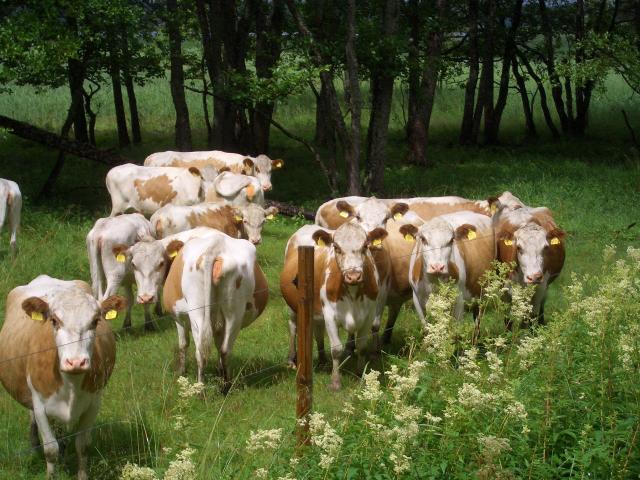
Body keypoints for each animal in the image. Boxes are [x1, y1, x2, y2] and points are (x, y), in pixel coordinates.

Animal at [0, 276, 126, 478]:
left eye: (95, 321)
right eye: (54, 320)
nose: (76, 362)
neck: (71, 385)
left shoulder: (94, 403)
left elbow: (83, 445)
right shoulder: (39, 404)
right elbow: (51, 449)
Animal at [282, 221, 390, 390]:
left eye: (365, 246)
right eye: (337, 247)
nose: (353, 276)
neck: (353, 294)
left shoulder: (369, 314)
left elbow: (361, 346)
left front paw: (359, 375)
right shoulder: (330, 315)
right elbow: (336, 349)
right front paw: (335, 382)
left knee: (318, 332)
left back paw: (322, 360)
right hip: (293, 306)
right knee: (293, 327)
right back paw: (291, 359)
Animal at [490, 195, 564, 326]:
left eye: (545, 247)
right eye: (518, 247)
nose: (534, 277)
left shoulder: (540, 288)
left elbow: (532, 317)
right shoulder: (505, 289)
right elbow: (508, 319)